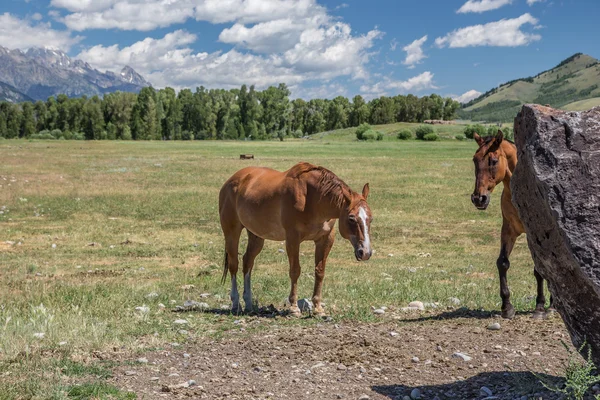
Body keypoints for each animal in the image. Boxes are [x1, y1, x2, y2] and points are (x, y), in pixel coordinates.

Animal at [218, 162, 372, 316]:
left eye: (370, 218)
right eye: (351, 219)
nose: (365, 252)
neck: (313, 199)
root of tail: (231, 181)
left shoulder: (326, 239)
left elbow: (320, 271)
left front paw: (318, 308)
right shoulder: (293, 238)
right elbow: (295, 270)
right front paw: (293, 307)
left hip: (256, 236)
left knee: (247, 262)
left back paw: (249, 303)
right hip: (232, 232)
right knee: (234, 264)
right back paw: (236, 303)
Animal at [472, 130, 552, 318]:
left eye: (493, 161)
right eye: (474, 160)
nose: (479, 198)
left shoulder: (534, 234)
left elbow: (539, 269)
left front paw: (540, 306)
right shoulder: (508, 230)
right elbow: (502, 263)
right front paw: (507, 307)